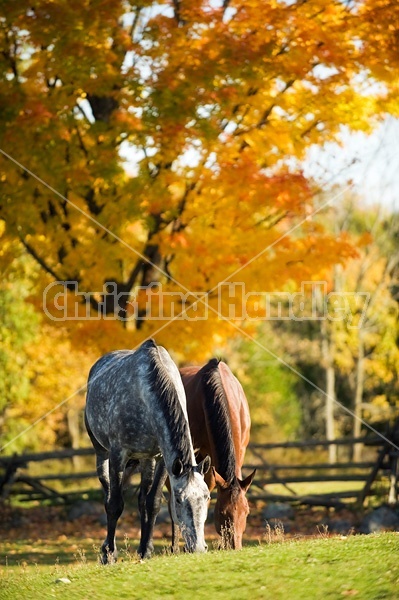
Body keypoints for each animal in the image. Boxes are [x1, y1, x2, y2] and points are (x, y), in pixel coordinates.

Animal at [83, 342, 211, 564]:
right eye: (179, 500)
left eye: (208, 497)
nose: (198, 548)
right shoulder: (118, 454)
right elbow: (115, 504)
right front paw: (109, 554)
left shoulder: (162, 459)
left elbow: (152, 503)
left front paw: (145, 551)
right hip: (102, 452)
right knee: (108, 494)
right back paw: (107, 549)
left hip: (146, 459)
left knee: (142, 499)